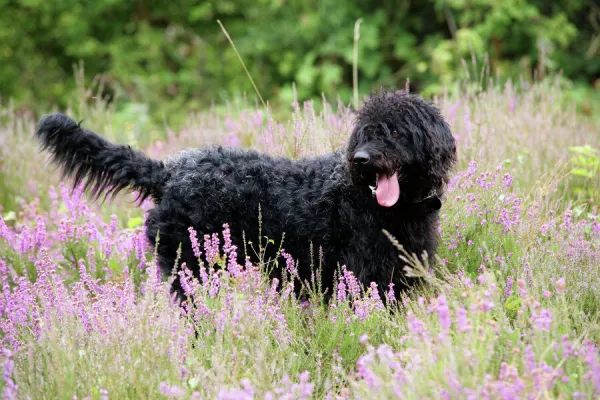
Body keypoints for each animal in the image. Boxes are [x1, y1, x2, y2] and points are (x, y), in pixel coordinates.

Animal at [35, 90, 458, 302]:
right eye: (366, 131)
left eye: (396, 131)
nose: (362, 159)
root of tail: (171, 172)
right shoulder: (362, 277)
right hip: (193, 271)